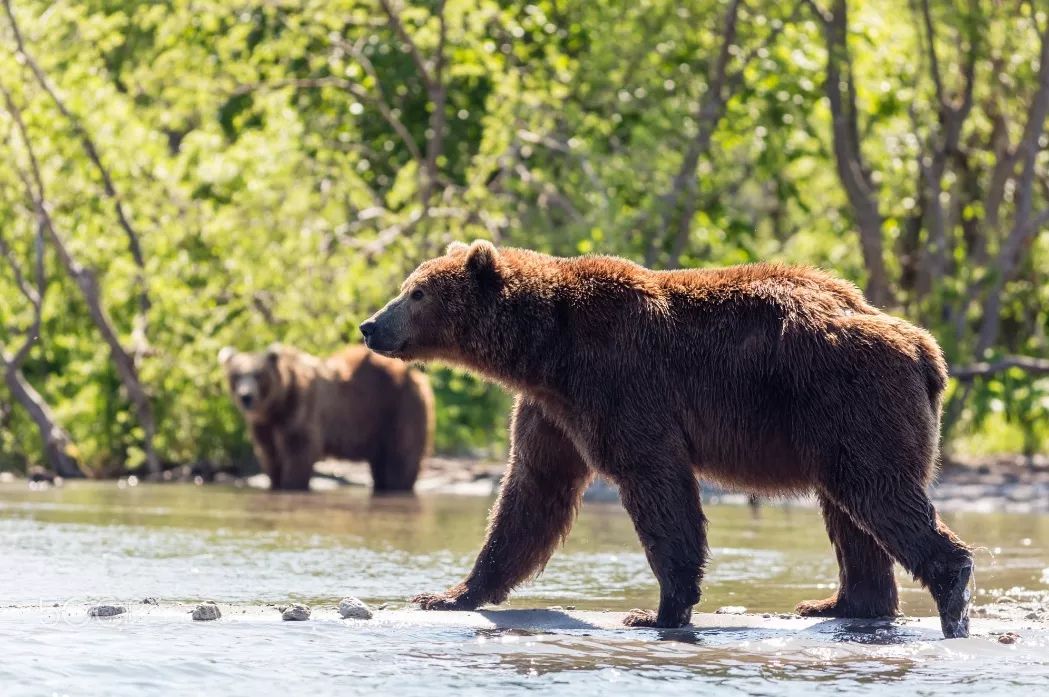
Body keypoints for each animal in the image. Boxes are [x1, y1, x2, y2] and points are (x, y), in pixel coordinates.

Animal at [219, 342, 432, 489]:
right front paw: (276, 482)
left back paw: (398, 485)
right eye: (236, 375)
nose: (246, 396)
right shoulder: (265, 426)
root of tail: (417, 376)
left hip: (399, 408)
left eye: (258, 374)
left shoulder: (301, 409)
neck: (276, 405)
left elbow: (300, 450)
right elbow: (270, 453)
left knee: (401, 456)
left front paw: (291, 483)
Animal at [360, 242, 973, 638]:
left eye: (417, 293)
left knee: (877, 493)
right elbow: (531, 495)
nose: (370, 325)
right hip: (836, 422)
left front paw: (658, 611)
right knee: (850, 513)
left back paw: (950, 591)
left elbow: (654, 484)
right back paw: (838, 605)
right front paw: (447, 594)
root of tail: (926, 350)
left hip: (848, 399)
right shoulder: (552, 410)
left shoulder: (620, 384)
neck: (544, 351)